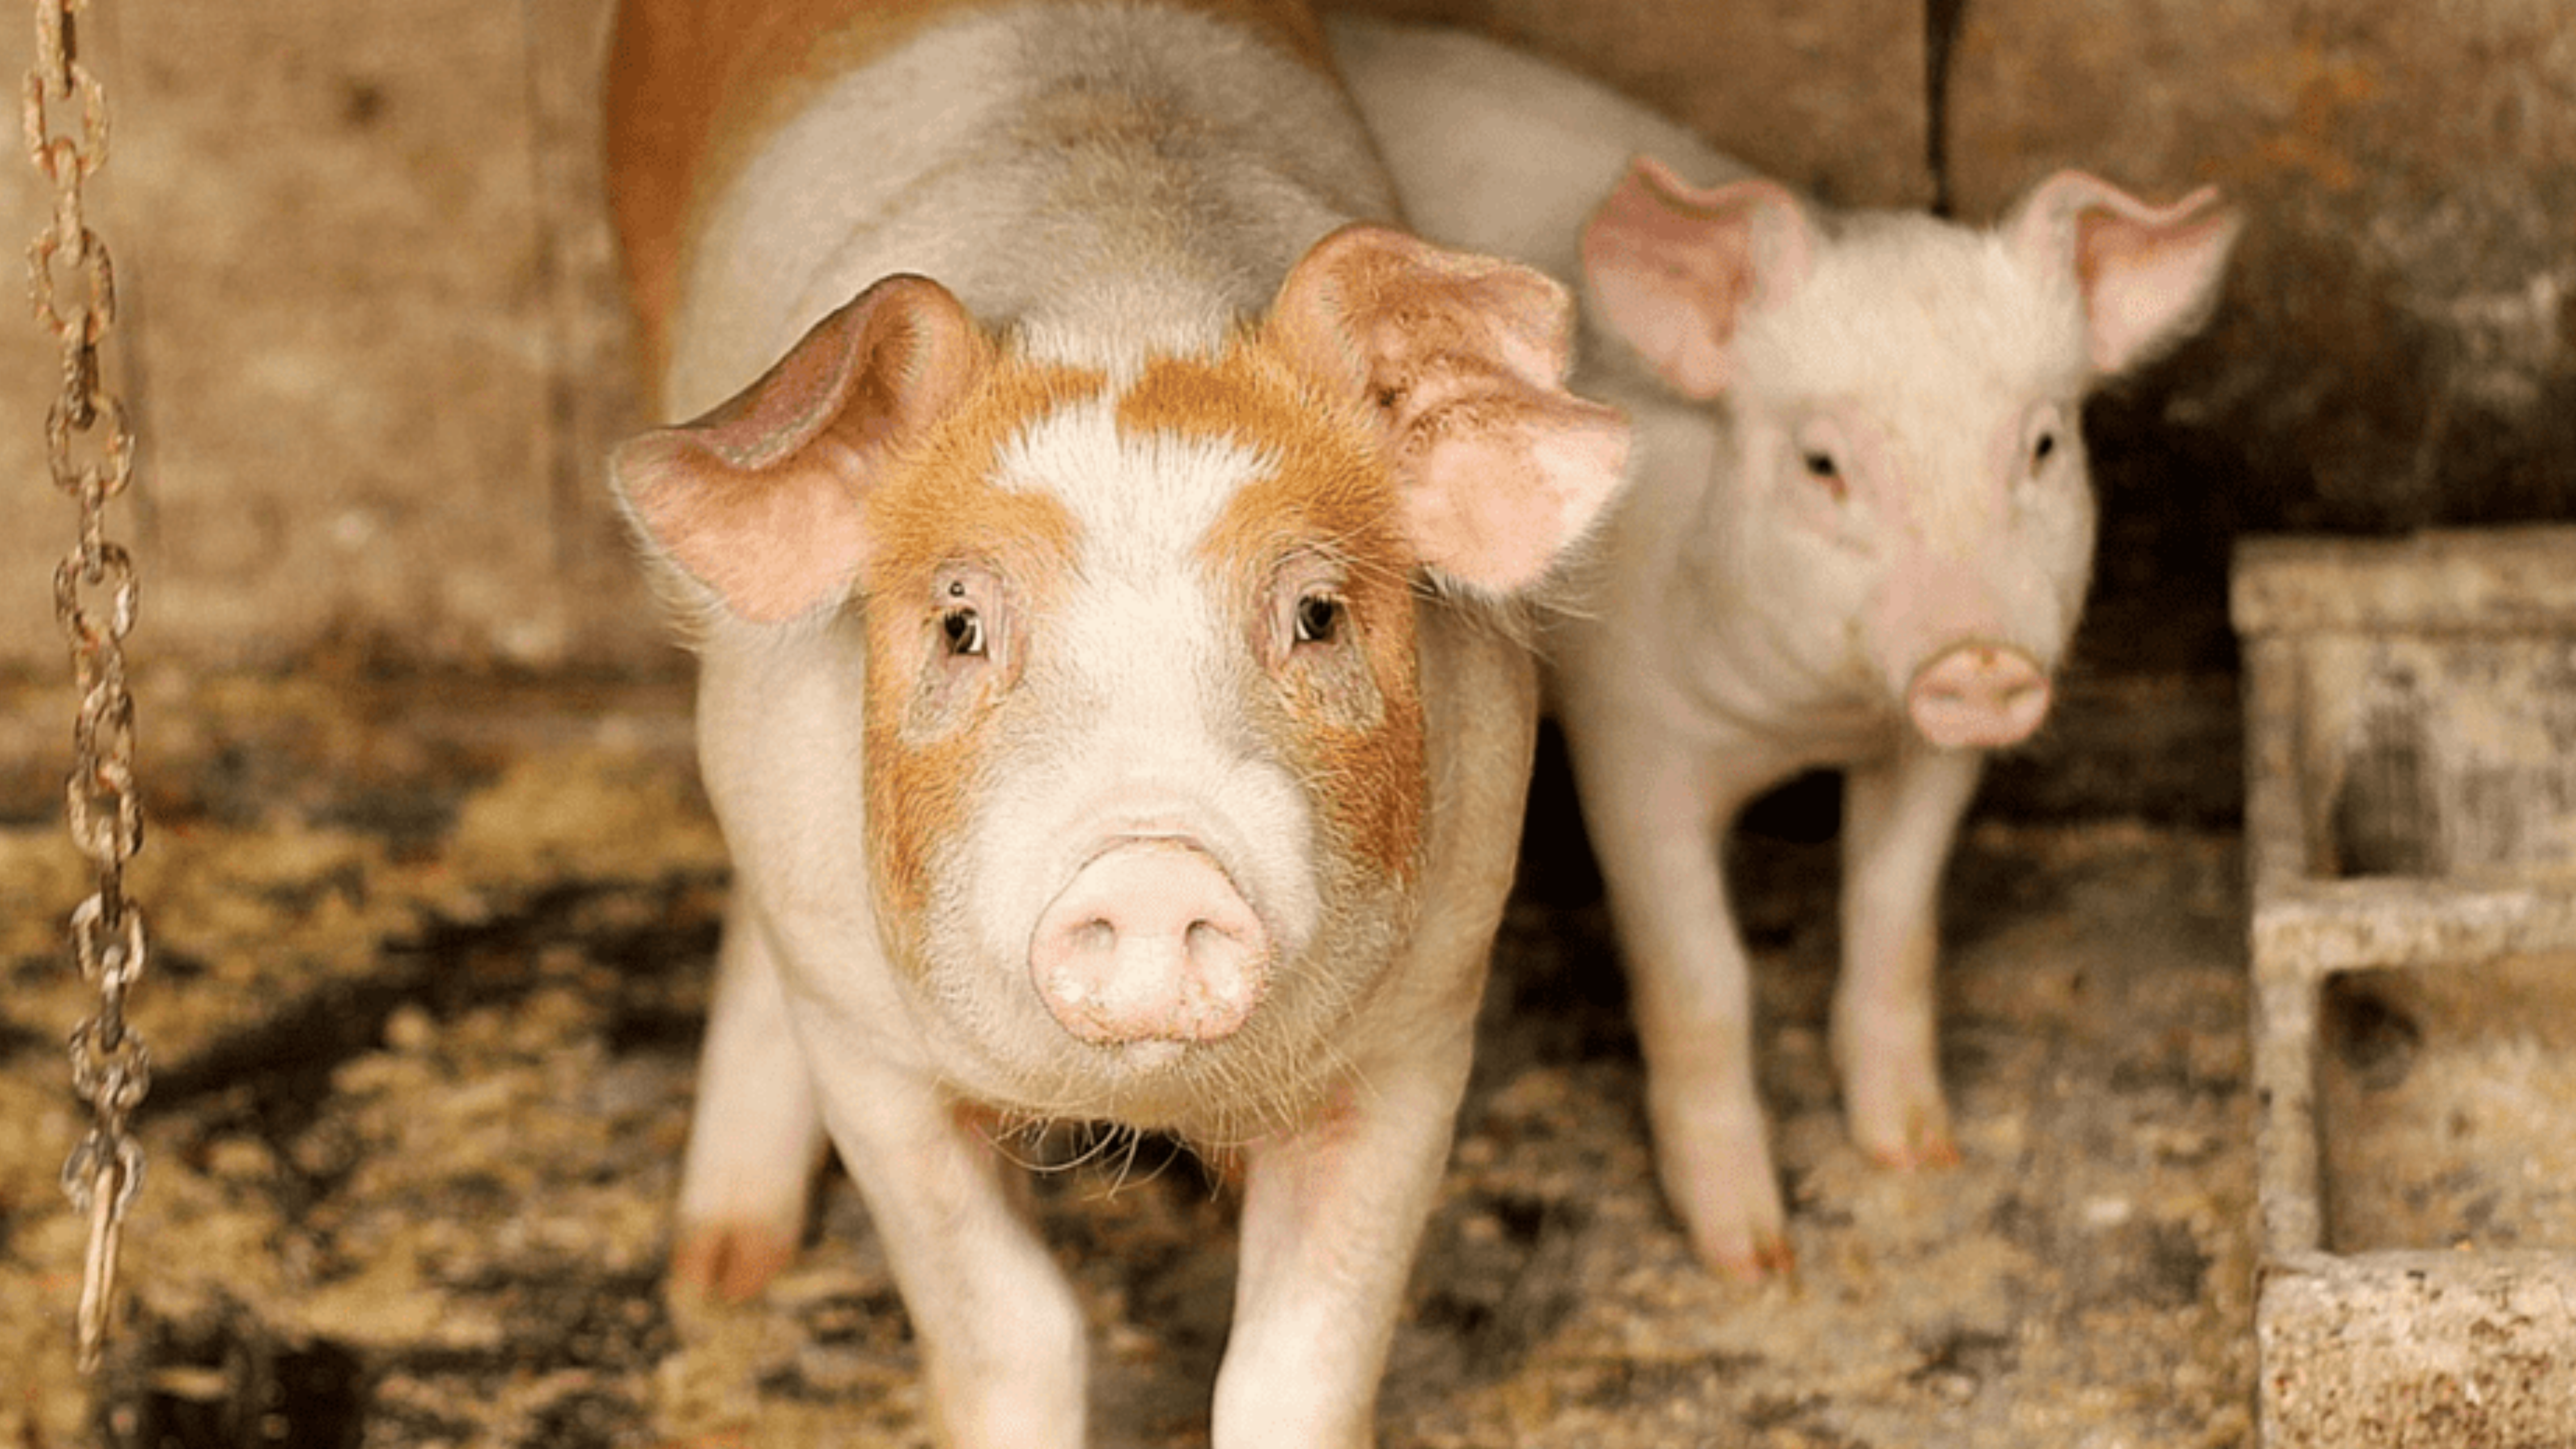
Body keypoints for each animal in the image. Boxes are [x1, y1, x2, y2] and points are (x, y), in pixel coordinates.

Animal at [601, 1, 1629, 1444]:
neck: (1122, 289)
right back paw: (719, 1274)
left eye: (1316, 613)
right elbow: (1013, 1325)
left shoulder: (1427, 1021)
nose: (1153, 866)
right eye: (961, 624)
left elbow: (1297, 1360)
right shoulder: (866, 1046)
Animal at [1329, 16, 2239, 1277]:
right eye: (1821, 464)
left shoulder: (1928, 748)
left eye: (2044, 444)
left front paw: (1918, 1154)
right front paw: (1751, 1257)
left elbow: (1893, 914)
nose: (1978, 660)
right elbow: (1700, 974)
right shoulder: (1630, 738)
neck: (1810, 721)